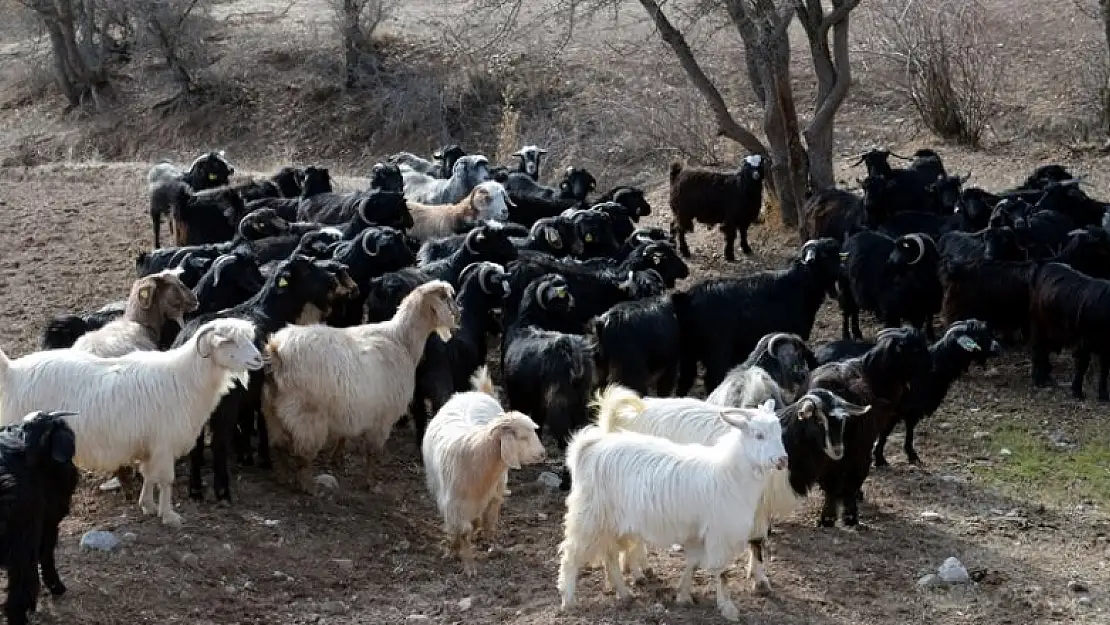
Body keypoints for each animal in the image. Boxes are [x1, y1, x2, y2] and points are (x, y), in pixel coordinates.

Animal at [0, 317, 261, 528]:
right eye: (229, 341)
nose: (259, 359)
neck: (184, 378)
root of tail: (12, 371)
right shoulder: (164, 444)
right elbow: (166, 481)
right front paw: (169, 516)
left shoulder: (150, 445)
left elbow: (149, 476)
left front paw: (147, 505)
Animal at [263, 279, 459, 495]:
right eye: (447, 298)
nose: (459, 313)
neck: (401, 340)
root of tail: (277, 351)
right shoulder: (381, 419)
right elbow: (372, 453)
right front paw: (371, 484)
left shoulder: (352, 410)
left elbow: (344, 437)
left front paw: (337, 459)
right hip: (307, 416)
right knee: (302, 456)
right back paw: (309, 487)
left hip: (271, 412)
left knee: (278, 446)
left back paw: (283, 478)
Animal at [419, 366, 546, 577]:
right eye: (522, 437)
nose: (543, 454)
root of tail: (476, 393)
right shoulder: (452, 504)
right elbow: (462, 531)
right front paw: (460, 557)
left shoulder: (489, 495)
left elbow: (482, 522)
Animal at [555, 390, 790, 621]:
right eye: (759, 435)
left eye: (779, 433)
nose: (782, 460)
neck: (729, 472)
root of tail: (588, 448)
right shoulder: (719, 533)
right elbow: (721, 572)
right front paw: (728, 609)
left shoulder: (698, 532)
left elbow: (693, 563)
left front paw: (683, 595)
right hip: (588, 517)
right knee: (571, 556)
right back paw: (568, 600)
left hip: (610, 523)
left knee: (610, 556)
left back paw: (625, 594)